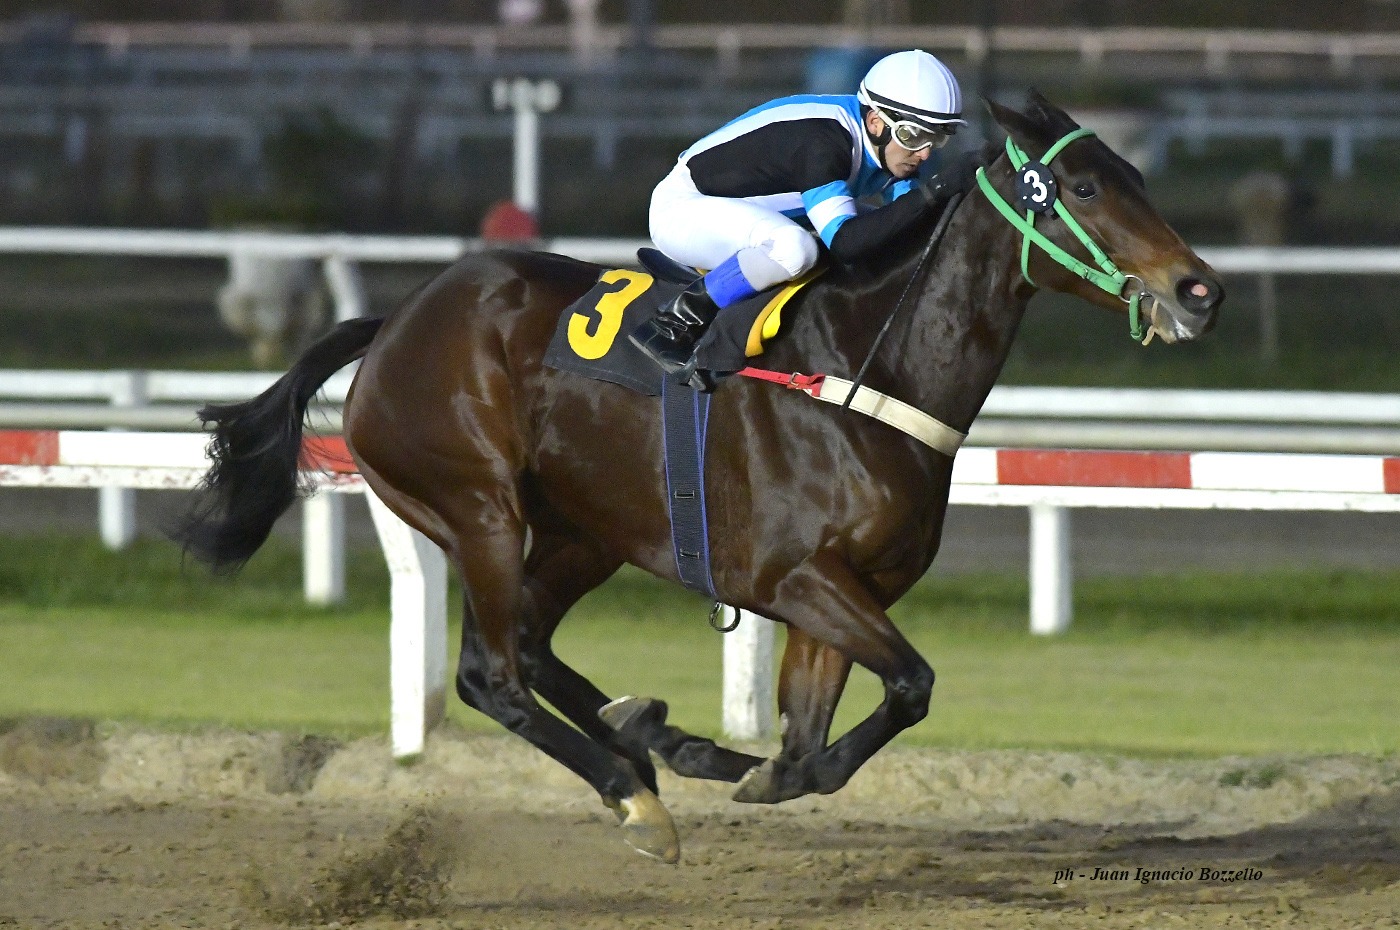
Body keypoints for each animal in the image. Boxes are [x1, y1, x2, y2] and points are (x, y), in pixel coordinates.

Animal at [176, 92, 1222, 864]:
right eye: (1083, 185)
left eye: (1137, 176)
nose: (1199, 290)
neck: (864, 368)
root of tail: (392, 323)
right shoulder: (799, 577)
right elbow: (911, 684)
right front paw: (745, 773)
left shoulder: (844, 593)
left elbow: (817, 738)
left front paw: (754, 765)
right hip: (478, 508)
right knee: (491, 673)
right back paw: (636, 796)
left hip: (583, 529)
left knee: (532, 646)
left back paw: (659, 740)